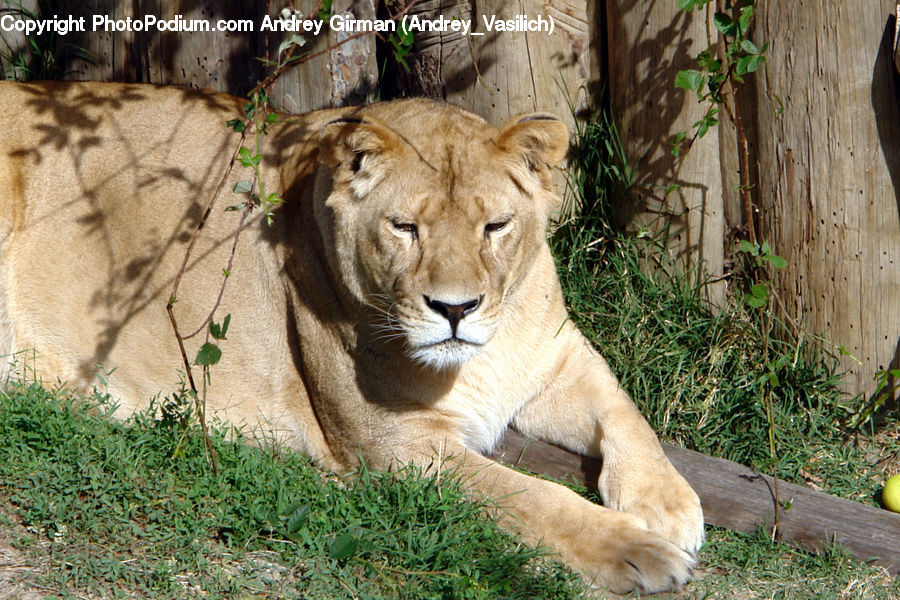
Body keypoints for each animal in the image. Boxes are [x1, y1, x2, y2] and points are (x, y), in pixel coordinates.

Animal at [0, 81, 703, 593]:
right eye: (405, 227)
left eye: (495, 227)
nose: (456, 309)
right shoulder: (396, 444)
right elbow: (533, 497)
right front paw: (640, 552)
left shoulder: (556, 356)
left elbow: (625, 411)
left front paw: (670, 505)